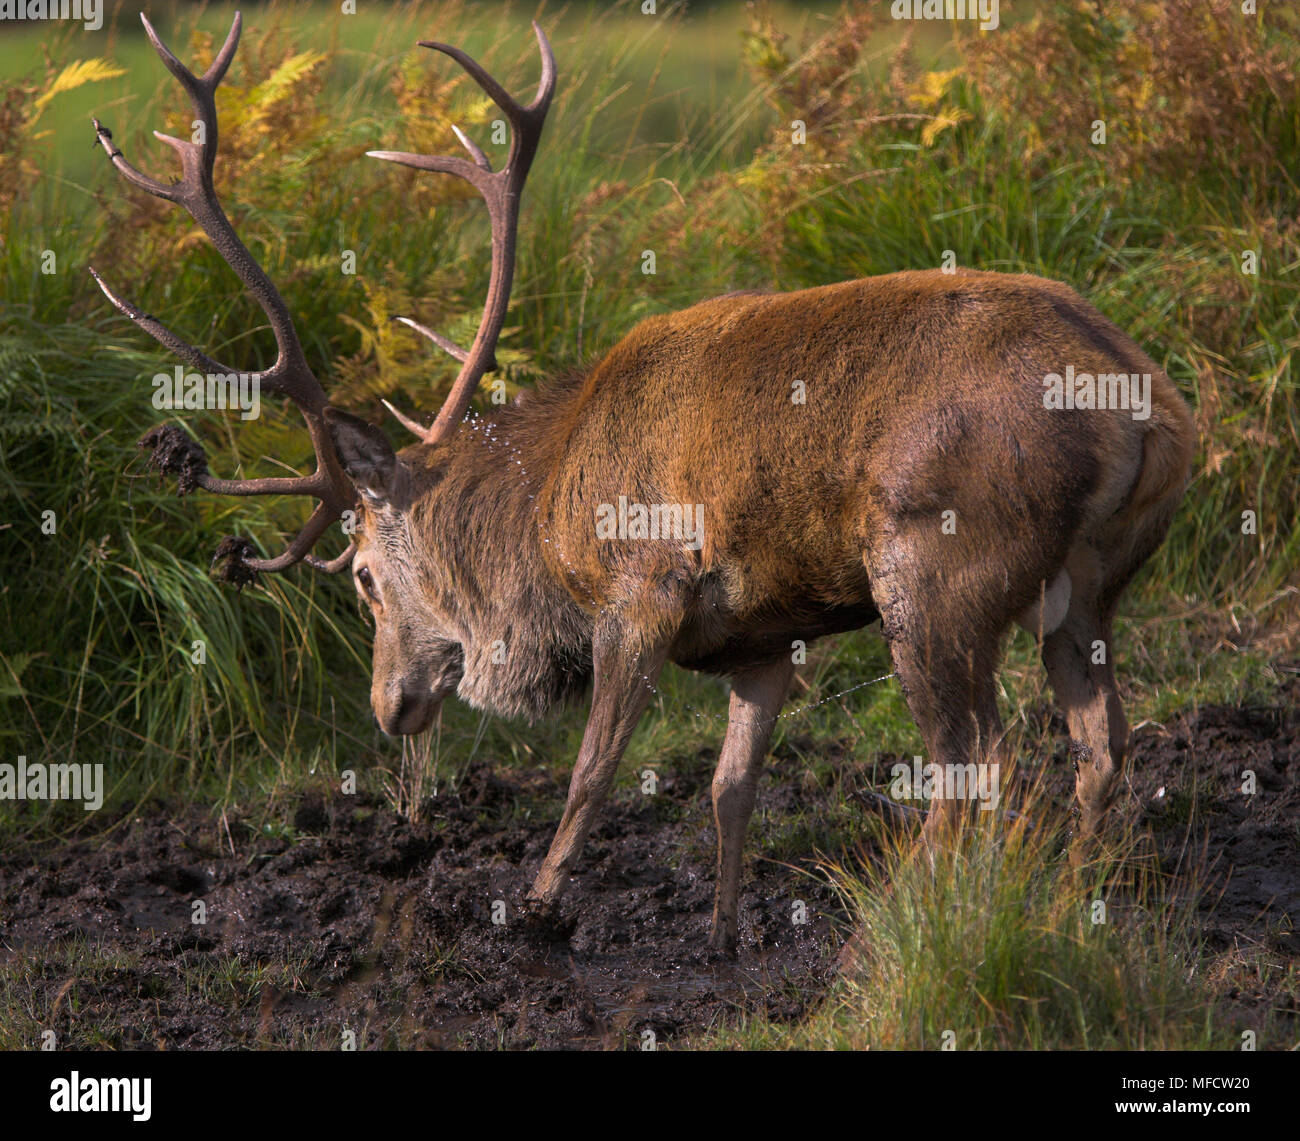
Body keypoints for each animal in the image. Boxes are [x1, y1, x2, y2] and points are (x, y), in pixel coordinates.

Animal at [92, 13, 1195, 955]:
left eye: (362, 575)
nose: (388, 705)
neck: (544, 522)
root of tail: (1142, 405)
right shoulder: (763, 635)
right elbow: (729, 785)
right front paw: (720, 933)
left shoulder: (642, 587)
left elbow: (592, 770)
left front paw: (536, 907)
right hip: (1093, 583)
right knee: (1100, 741)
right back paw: (1070, 904)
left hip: (935, 564)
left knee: (978, 760)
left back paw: (904, 922)